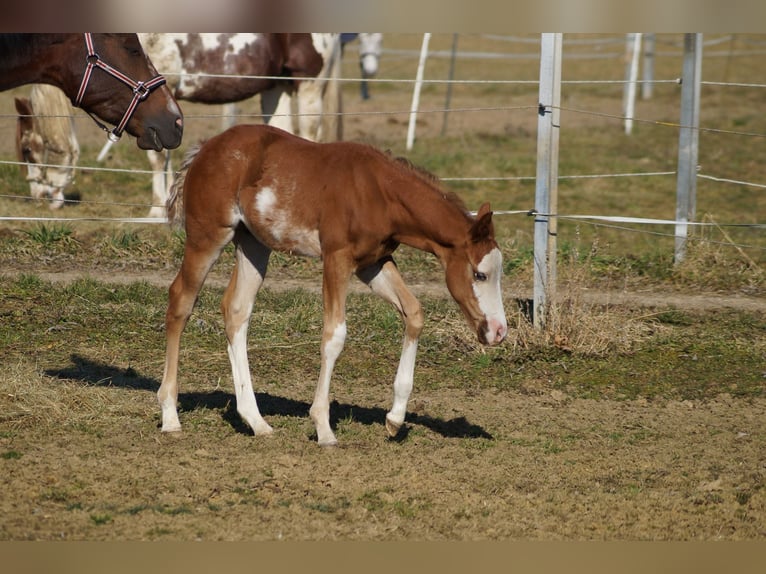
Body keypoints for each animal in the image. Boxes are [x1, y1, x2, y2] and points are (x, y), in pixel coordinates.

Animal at [159, 124, 508, 447]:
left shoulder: (373, 263)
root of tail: (204, 149)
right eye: (480, 274)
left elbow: (414, 312)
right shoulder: (336, 258)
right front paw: (324, 428)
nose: (498, 331)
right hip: (208, 236)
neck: (379, 192)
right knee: (181, 301)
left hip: (253, 244)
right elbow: (334, 335)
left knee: (236, 310)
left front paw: (394, 419)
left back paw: (256, 421)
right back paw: (170, 416)